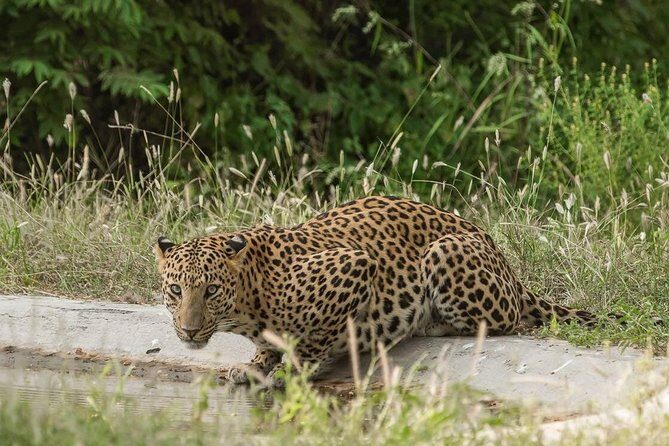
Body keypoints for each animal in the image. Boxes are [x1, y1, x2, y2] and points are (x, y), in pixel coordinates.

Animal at [155, 195, 598, 386]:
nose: (189, 331)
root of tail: (500, 254)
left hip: (445, 251)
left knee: (505, 320)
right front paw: (257, 363)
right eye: (176, 289)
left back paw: (430, 324)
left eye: (211, 290)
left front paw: (294, 368)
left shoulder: (354, 266)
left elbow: (314, 340)